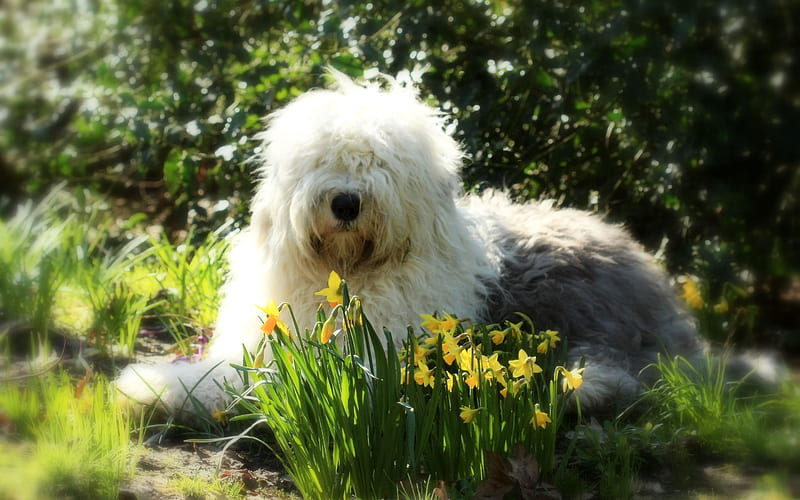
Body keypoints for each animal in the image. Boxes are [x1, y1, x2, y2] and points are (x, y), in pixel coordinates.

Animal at [115, 68, 704, 416]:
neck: (348, 274)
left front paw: (151, 387)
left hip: (581, 307)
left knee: (628, 372)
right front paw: (154, 383)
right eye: (322, 161)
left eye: (381, 164)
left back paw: (571, 387)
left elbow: (251, 381)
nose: (346, 203)